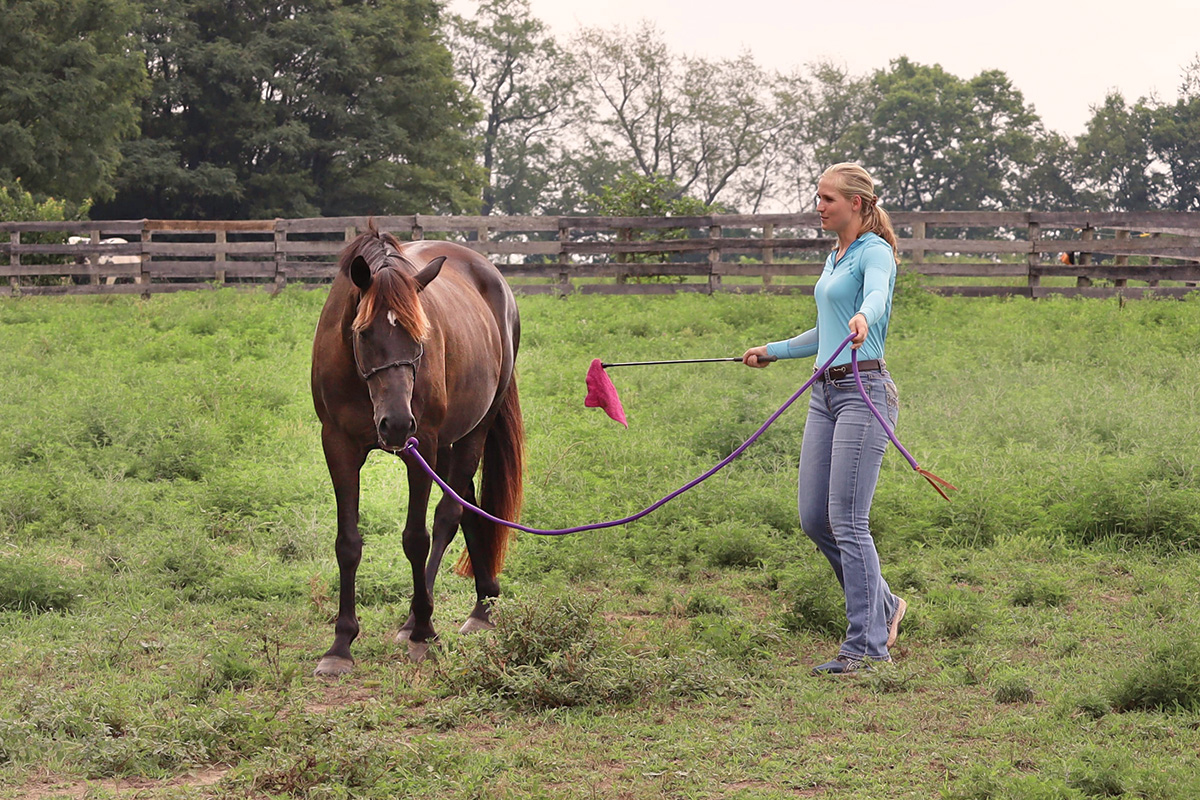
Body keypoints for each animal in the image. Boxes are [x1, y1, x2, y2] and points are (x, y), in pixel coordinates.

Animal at [310, 224, 524, 675]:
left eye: (419, 332)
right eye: (363, 332)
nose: (395, 423)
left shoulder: (420, 444)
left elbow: (416, 538)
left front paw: (424, 631)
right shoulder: (337, 446)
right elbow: (347, 543)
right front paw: (340, 644)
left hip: (473, 431)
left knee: (449, 515)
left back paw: (423, 619)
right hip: (448, 444)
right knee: (467, 506)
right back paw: (483, 602)